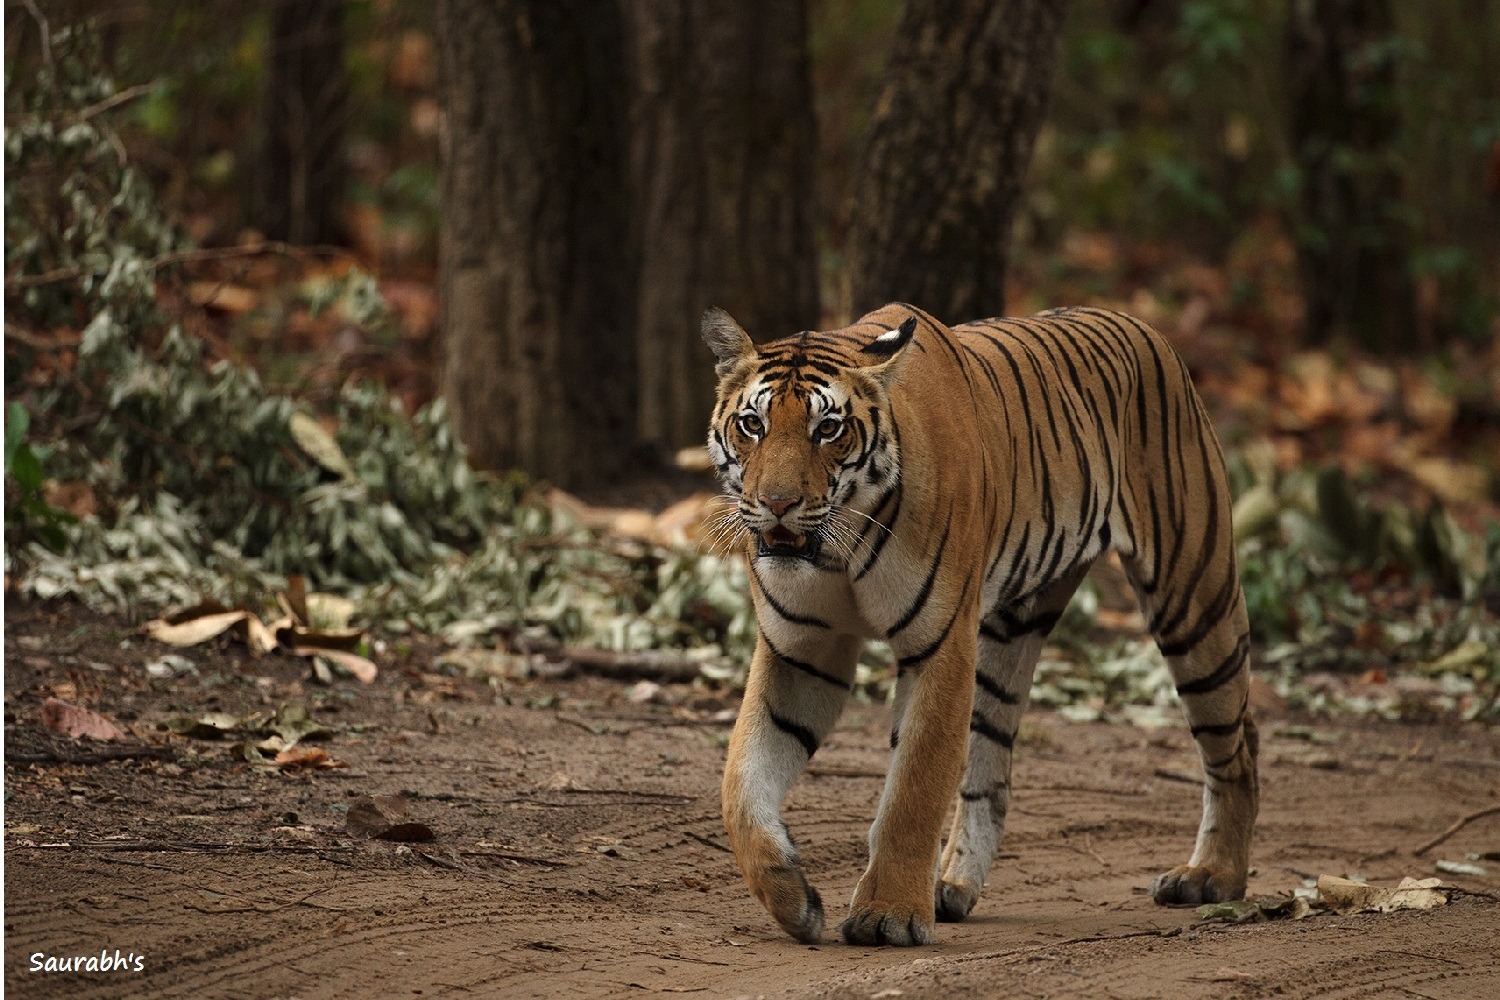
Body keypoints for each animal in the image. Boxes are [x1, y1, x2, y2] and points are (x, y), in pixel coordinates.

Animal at [699, 302, 1254, 947]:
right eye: (752, 425)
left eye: (828, 430)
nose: (778, 504)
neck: (838, 549)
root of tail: (1146, 328)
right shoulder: (801, 652)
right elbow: (740, 786)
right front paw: (794, 899)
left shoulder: (939, 645)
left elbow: (914, 788)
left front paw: (888, 915)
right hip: (1011, 633)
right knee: (992, 772)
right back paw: (952, 886)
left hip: (1194, 601)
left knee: (1237, 745)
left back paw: (1212, 877)